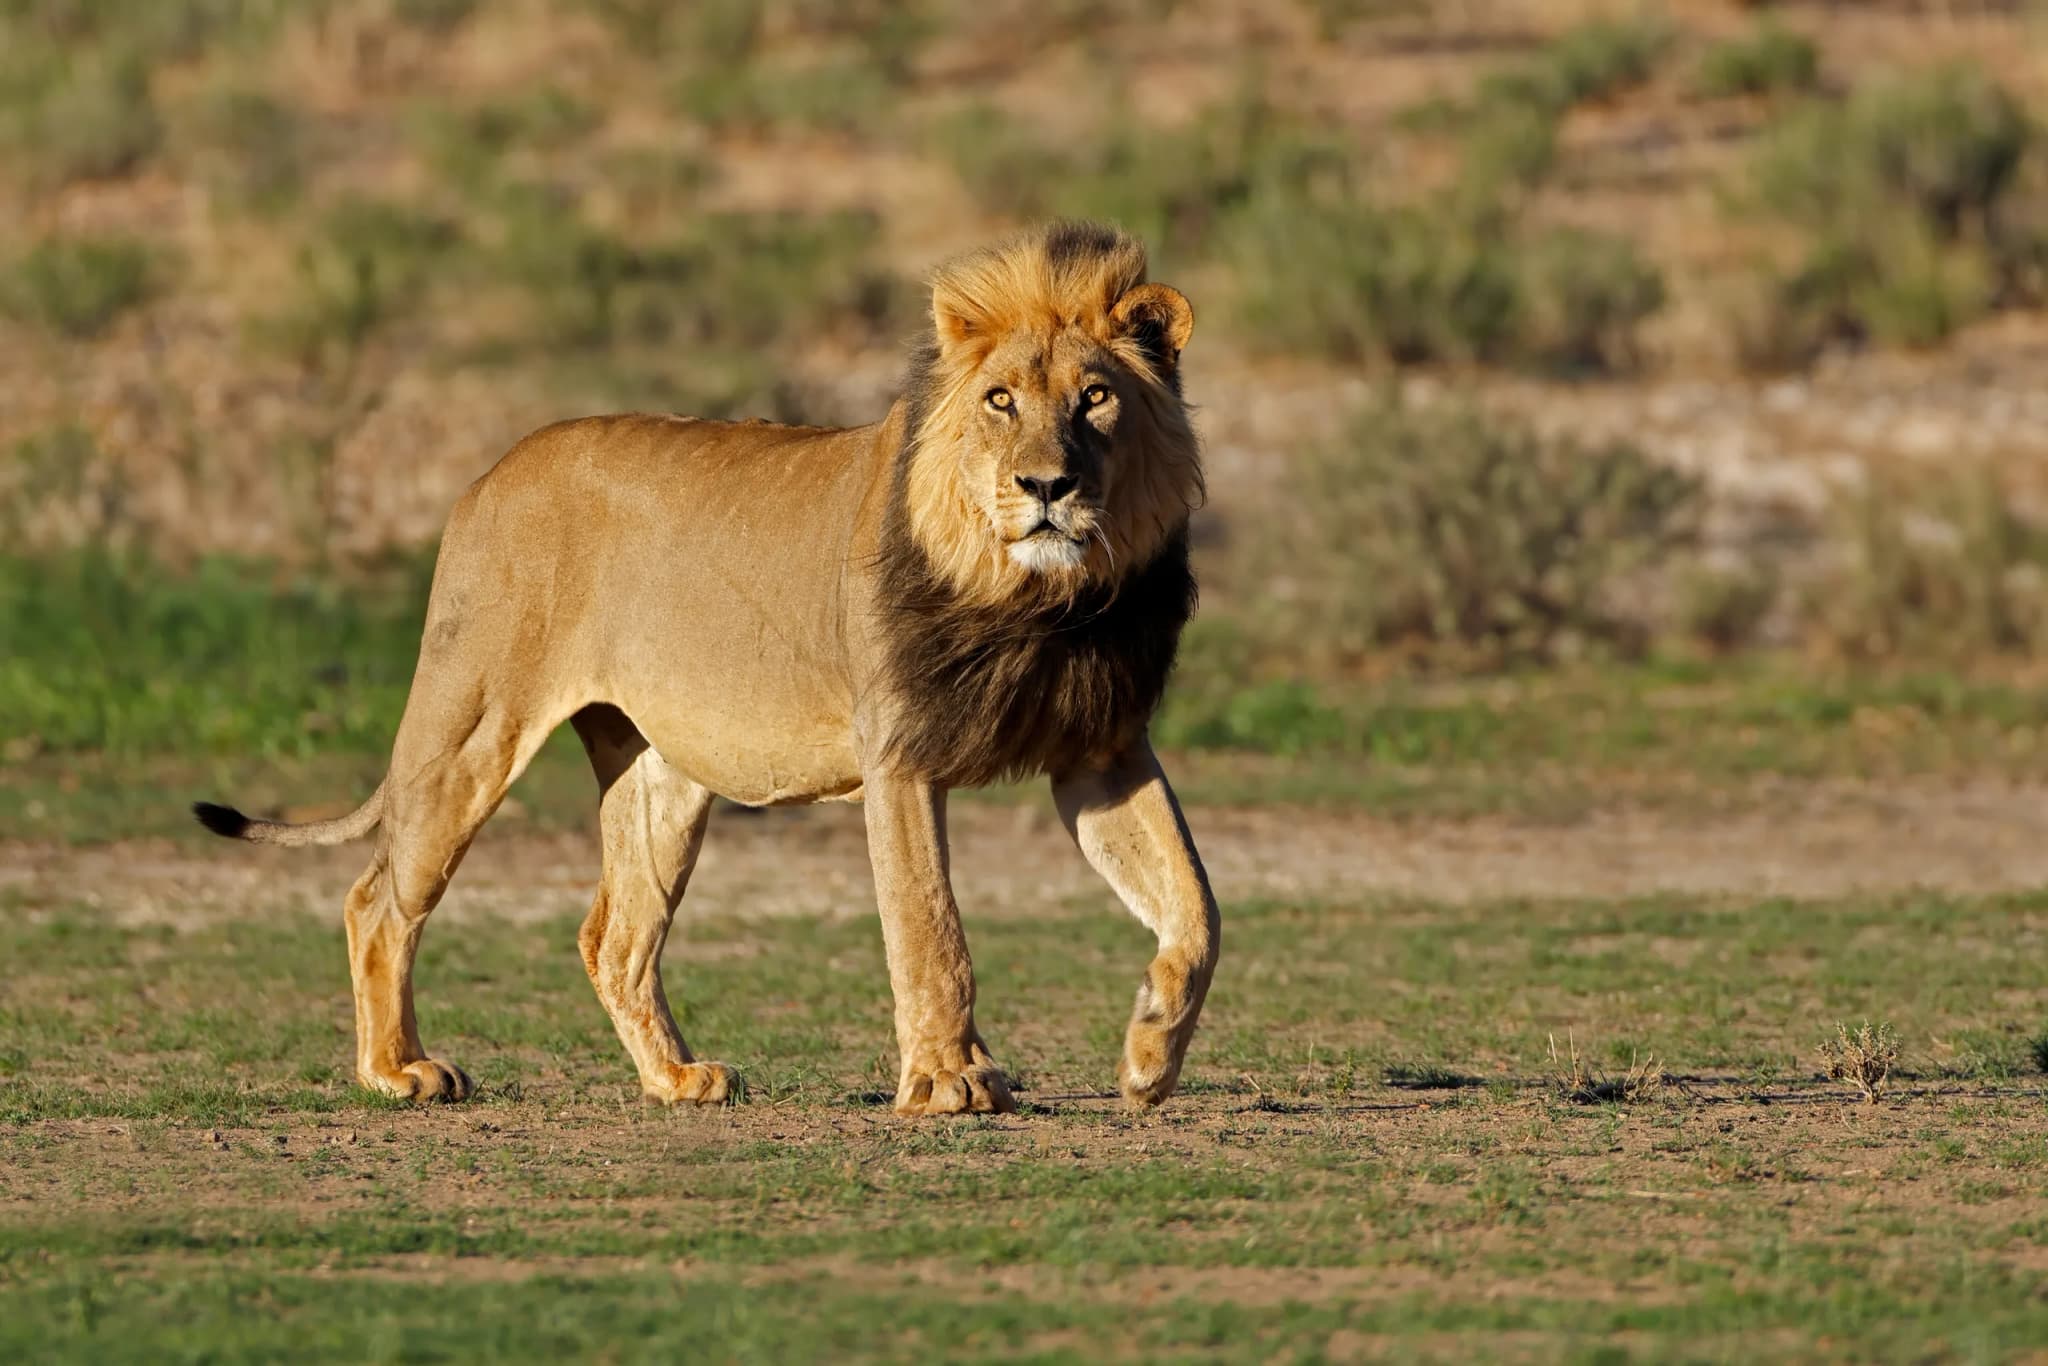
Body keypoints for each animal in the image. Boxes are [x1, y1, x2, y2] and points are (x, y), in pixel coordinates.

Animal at [194, 220, 1219, 1116]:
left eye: (1095, 398)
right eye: (1001, 400)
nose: (1047, 486)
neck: (1044, 601)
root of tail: (488, 476)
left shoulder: (1102, 752)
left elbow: (1196, 908)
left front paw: (1148, 1056)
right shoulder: (901, 756)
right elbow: (932, 931)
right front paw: (951, 1083)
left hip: (661, 775)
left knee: (613, 936)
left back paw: (677, 1080)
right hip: (470, 728)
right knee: (378, 900)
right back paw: (398, 1071)